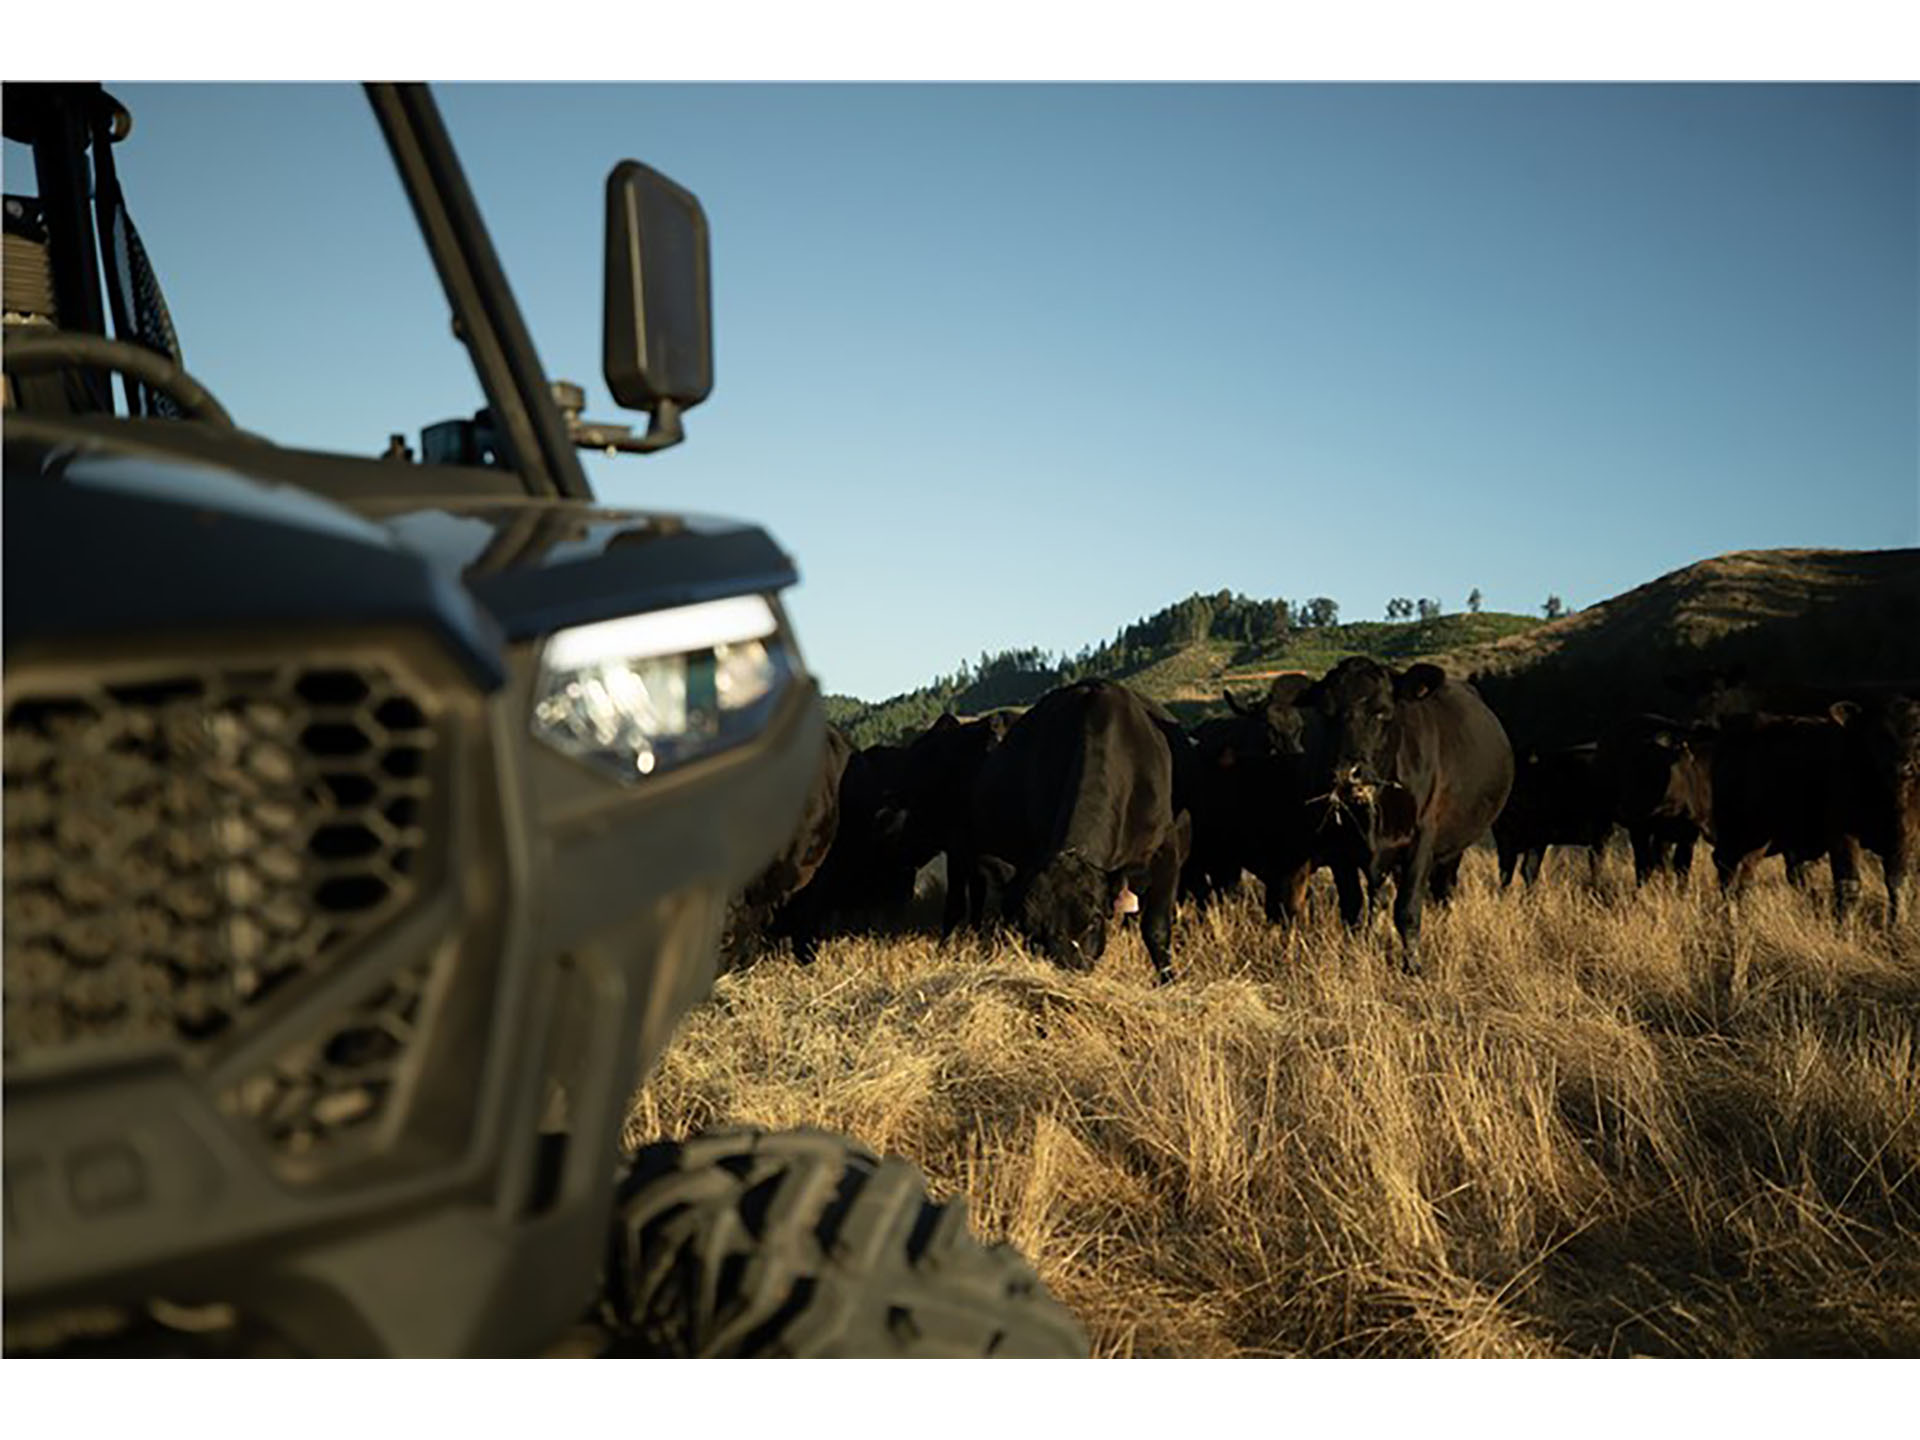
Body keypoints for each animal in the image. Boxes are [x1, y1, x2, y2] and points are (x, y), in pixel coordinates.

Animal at [967, 683, 1190, 990]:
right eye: (1033, 926)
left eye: (1094, 920)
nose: (1069, 969)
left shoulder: (1165, 851)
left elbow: (1156, 929)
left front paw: (1168, 983)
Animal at [1290, 660, 1512, 975]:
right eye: (1325, 713)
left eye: (1382, 711)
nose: (1346, 773)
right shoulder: (1339, 848)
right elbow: (1353, 908)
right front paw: (1354, 959)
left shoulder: (1421, 840)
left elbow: (1407, 908)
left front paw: (1413, 966)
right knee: (1380, 898)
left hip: (1453, 848)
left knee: (1443, 891)